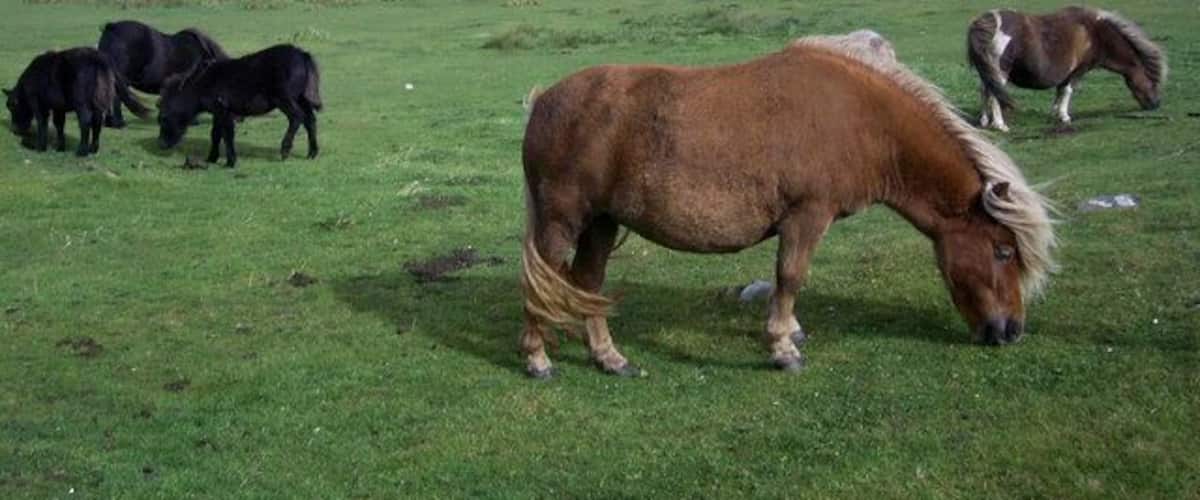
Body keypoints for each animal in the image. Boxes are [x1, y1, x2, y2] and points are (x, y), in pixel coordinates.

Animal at [6, 48, 148, 156]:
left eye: (12, 107)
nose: (14, 129)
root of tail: (99, 58)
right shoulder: (59, 107)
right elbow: (59, 124)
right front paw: (60, 147)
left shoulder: (39, 105)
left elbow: (42, 124)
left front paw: (40, 147)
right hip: (98, 101)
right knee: (97, 122)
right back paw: (93, 149)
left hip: (82, 103)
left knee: (85, 121)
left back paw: (81, 151)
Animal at [156, 44, 321, 168]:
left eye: (163, 117)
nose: (161, 145)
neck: (202, 85)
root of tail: (302, 54)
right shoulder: (217, 113)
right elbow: (215, 134)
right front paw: (211, 158)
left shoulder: (225, 111)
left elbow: (227, 135)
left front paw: (230, 162)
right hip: (301, 98)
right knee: (310, 120)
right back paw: (312, 153)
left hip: (285, 99)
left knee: (297, 117)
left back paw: (285, 150)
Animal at [518, 36, 1057, 379]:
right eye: (1003, 251)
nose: (1011, 331)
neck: (862, 122)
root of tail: (545, 100)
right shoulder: (807, 215)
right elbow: (791, 277)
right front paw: (781, 348)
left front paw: (790, 334)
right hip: (562, 220)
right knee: (542, 281)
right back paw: (537, 359)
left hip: (602, 223)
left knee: (588, 283)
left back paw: (609, 358)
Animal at [967, 6, 1167, 131]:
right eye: (1152, 81)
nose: (1156, 104)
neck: (1095, 33)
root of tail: (990, 20)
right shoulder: (1078, 70)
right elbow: (1068, 90)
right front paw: (1064, 116)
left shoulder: (1065, 73)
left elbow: (1060, 91)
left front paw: (1055, 113)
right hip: (1000, 71)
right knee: (994, 94)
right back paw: (1000, 125)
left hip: (988, 70)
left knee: (985, 90)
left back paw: (984, 121)